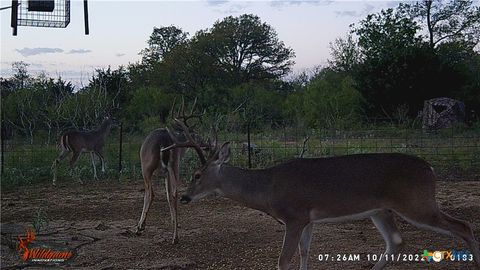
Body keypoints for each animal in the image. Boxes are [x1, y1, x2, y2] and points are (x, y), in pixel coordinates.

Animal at [133, 98, 206, 244]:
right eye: (197, 135)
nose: (205, 144)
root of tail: (164, 142)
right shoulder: (167, 173)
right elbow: (168, 195)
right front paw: (174, 222)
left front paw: (141, 226)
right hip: (174, 166)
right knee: (174, 193)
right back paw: (175, 236)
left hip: (146, 167)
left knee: (150, 193)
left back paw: (140, 228)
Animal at [166, 125, 480, 270]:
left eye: (196, 175)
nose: (184, 197)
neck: (267, 189)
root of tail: (430, 168)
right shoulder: (308, 219)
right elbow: (305, 252)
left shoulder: (294, 215)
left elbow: (284, 259)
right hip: (381, 209)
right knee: (396, 240)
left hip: (416, 202)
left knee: (463, 226)